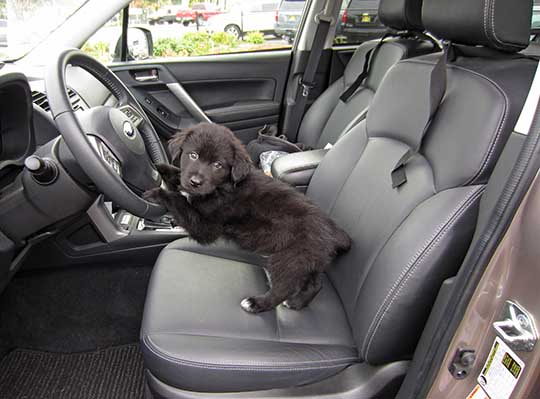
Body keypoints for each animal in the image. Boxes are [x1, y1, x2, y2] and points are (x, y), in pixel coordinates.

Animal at [143, 123, 350, 314]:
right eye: (193, 155)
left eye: (218, 165)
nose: (195, 182)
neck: (223, 186)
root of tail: (334, 232)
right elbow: (177, 175)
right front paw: (157, 167)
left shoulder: (207, 228)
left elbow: (181, 201)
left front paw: (157, 193)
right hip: (310, 259)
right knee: (316, 283)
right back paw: (297, 303)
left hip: (291, 256)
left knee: (284, 287)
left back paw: (257, 303)